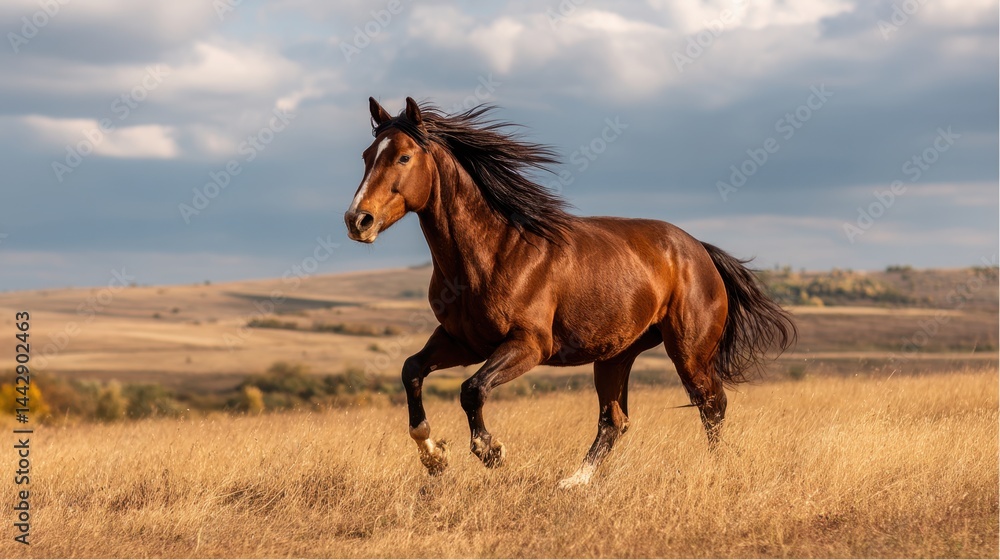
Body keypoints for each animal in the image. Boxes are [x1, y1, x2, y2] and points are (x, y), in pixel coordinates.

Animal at [344, 97, 795, 488]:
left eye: (403, 157)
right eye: (367, 156)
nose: (357, 220)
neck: (493, 252)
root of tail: (699, 250)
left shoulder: (529, 344)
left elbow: (472, 389)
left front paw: (491, 451)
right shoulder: (462, 341)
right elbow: (412, 371)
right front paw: (434, 456)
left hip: (688, 352)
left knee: (711, 406)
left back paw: (716, 470)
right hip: (615, 356)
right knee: (615, 421)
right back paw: (572, 482)